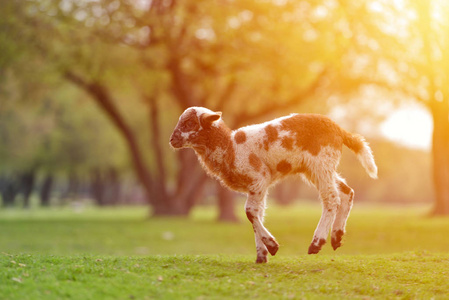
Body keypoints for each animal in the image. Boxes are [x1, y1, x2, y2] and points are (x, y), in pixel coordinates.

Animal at [170, 107, 376, 262]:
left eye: (190, 123)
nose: (172, 140)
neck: (231, 148)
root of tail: (339, 129)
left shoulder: (258, 178)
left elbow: (250, 213)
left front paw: (272, 246)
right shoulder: (259, 185)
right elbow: (257, 214)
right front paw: (262, 256)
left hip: (321, 162)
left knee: (331, 199)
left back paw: (317, 243)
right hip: (316, 168)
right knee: (347, 192)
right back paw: (337, 237)